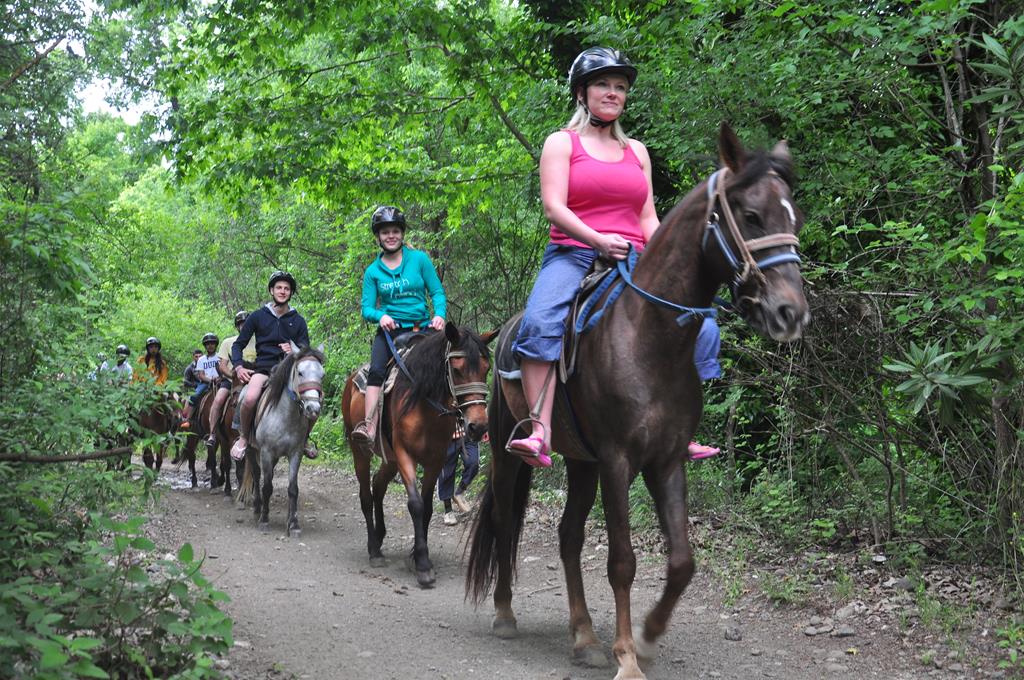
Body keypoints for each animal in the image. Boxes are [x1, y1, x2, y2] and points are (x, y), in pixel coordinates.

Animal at [242, 342, 325, 537]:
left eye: (322, 375)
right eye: (300, 372)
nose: (313, 409)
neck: (285, 416)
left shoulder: (295, 453)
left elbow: (293, 488)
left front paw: (293, 523)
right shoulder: (266, 452)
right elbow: (267, 486)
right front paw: (264, 520)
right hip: (252, 449)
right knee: (257, 474)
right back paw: (257, 508)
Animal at [340, 322, 496, 587]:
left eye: (486, 368)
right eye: (457, 369)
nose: (478, 426)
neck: (424, 404)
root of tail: (351, 380)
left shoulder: (435, 460)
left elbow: (428, 506)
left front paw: (416, 555)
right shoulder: (405, 455)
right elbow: (415, 504)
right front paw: (423, 565)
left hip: (390, 459)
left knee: (378, 485)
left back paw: (380, 537)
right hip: (359, 450)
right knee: (366, 495)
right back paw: (374, 550)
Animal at [465, 123, 809, 680]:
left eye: (793, 215)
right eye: (752, 216)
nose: (790, 312)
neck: (650, 339)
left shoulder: (665, 460)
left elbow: (682, 561)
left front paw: (647, 637)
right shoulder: (618, 460)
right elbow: (622, 560)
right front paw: (627, 657)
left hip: (581, 463)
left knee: (568, 536)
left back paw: (584, 638)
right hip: (506, 451)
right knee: (504, 521)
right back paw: (505, 615)